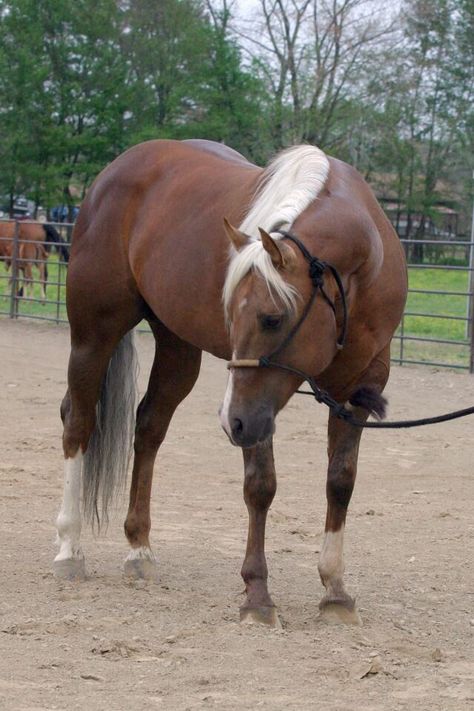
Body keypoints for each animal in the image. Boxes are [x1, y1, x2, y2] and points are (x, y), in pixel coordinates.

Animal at [54, 139, 408, 628]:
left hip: (179, 349)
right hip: (94, 335)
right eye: (231, 313)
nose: (229, 421)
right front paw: (257, 594)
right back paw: (70, 549)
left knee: (149, 427)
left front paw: (335, 590)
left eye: (272, 318)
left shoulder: (356, 389)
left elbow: (341, 481)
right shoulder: (258, 410)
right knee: (78, 422)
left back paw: (139, 549)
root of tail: (119, 168)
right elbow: (261, 486)